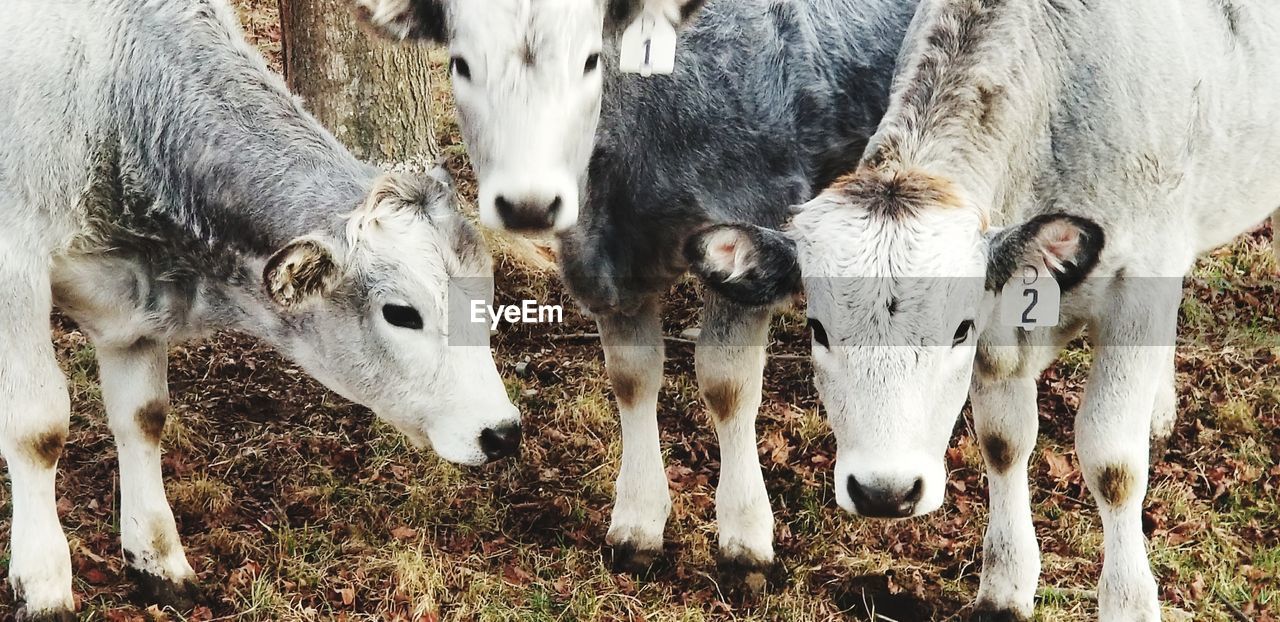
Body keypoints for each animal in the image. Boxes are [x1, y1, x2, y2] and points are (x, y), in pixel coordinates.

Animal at [1, 0, 519, 616]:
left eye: (486, 302)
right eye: (401, 313)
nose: (503, 432)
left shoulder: (130, 301)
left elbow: (142, 414)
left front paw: (158, 558)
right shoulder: (14, 265)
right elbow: (37, 428)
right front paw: (44, 583)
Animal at [355, 0, 926, 583]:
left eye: (590, 60)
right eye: (462, 64)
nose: (528, 203)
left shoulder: (752, 225)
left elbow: (727, 385)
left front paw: (745, 536)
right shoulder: (599, 258)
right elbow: (631, 378)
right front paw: (638, 522)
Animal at [691, 0, 1280, 616]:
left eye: (959, 330)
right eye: (818, 329)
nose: (884, 492)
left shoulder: (1140, 283)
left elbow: (1112, 463)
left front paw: (1128, 603)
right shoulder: (1004, 318)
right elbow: (1003, 440)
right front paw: (1006, 584)